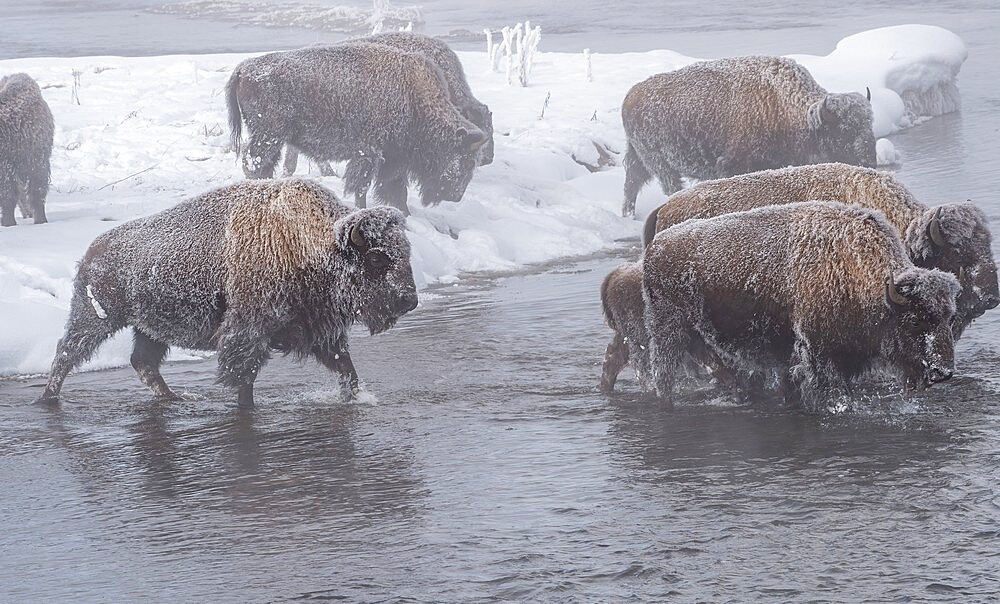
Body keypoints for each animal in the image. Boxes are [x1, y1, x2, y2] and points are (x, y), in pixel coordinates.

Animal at [39, 177, 418, 408]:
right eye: (377, 257)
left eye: (405, 251)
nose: (409, 300)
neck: (306, 241)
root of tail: (91, 252)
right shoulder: (247, 334)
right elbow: (243, 379)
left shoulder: (321, 333)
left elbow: (346, 369)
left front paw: (355, 398)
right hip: (97, 319)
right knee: (66, 353)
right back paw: (48, 398)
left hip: (149, 328)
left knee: (142, 362)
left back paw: (174, 398)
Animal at [228, 41, 492, 215]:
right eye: (466, 160)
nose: (455, 197)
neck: (414, 99)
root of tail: (243, 68)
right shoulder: (369, 154)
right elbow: (362, 187)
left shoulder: (392, 160)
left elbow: (394, 189)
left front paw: (404, 213)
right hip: (268, 136)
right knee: (253, 164)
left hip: (272, 139)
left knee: (263, 166)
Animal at [616, 56, 876, 217]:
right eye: (844, 132)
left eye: (869, 125)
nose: (869, 163)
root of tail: (630, 95)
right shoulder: (732, 165)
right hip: (661, 164)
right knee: (666, 185)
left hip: (640, 160)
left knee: (631, 184)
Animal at [640, 201, 960, 408]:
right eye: (915, 320)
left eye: (950, 318)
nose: (943, 372)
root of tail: (654, 247)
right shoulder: (820, 357)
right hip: (669, 331)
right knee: (664, 372)